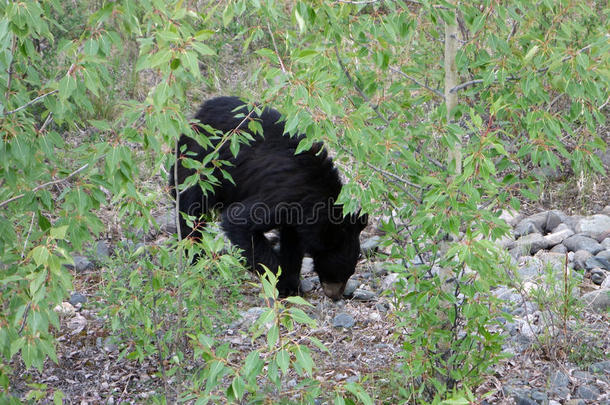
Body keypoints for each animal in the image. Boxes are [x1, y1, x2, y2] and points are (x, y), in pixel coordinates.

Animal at [169, 96, 366, 298]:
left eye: (349, 271)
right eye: (340, 272)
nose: (337, 295)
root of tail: (198, 113)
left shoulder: (296, 216)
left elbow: (292, 244)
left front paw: (291, 283)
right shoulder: (285, 196)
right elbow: (239, 221)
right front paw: (279, 282)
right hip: (199, 166)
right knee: (190, 209)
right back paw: (194, 257)